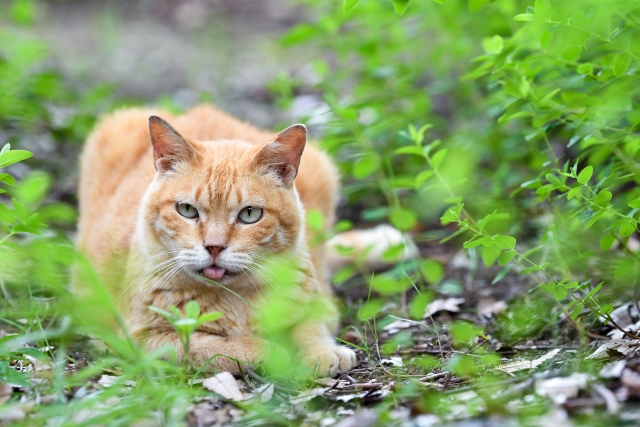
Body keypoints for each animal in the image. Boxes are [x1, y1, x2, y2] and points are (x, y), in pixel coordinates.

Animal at [77, 105, 358, 376]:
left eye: (249, 214)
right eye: (187, 210)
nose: (214, 247)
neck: (233, 299)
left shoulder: (319, 306)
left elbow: (310, 328)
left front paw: (323, 351)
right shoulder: (140, 341)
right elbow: (210, 347)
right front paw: (270, 352)